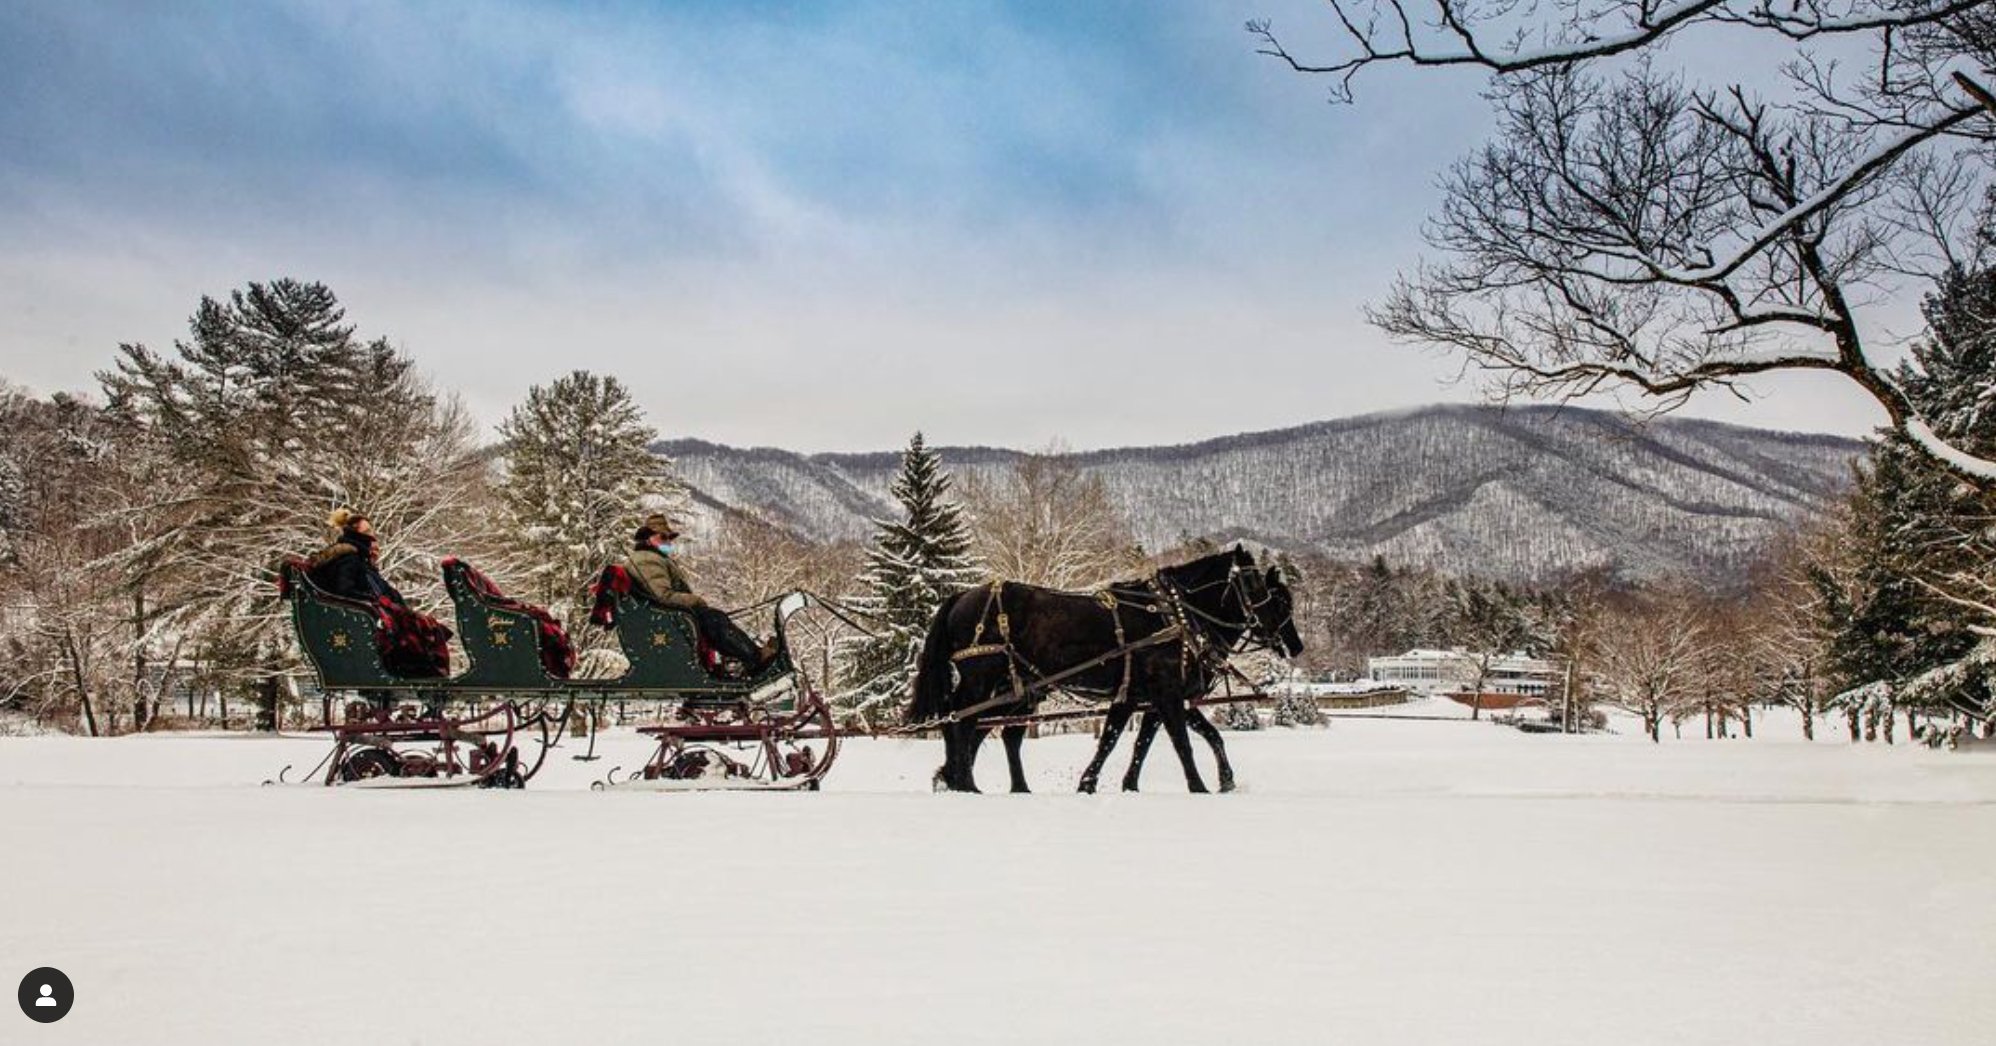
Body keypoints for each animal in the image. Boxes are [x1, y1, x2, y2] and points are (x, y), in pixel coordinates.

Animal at [910, 546, 1309, 794]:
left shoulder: (1142, 697)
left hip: (1015, 688)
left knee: (993, 731)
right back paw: (963, 782)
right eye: (1258, 587)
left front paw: (1108, 784)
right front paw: (1199, 786)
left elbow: (1129, 741)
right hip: (982, 679)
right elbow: (1181, 742)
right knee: (960, 720)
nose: (1295, 646)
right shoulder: (1167, 693)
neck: (1177, 615)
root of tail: (962, 597)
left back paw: (980, 782)